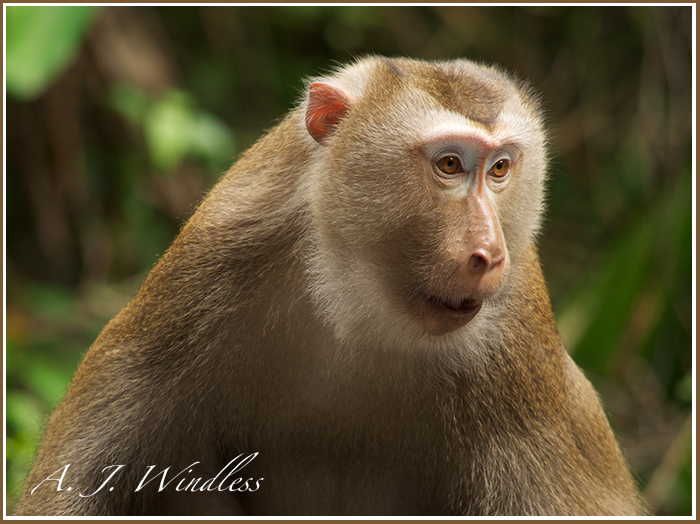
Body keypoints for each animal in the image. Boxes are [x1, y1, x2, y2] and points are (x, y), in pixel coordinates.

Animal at [15, 56, 644, 516]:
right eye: (448, 165)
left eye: (499, 169)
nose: (489, 254)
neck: (356, 303)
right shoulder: (210, 266)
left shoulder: (516, 345)